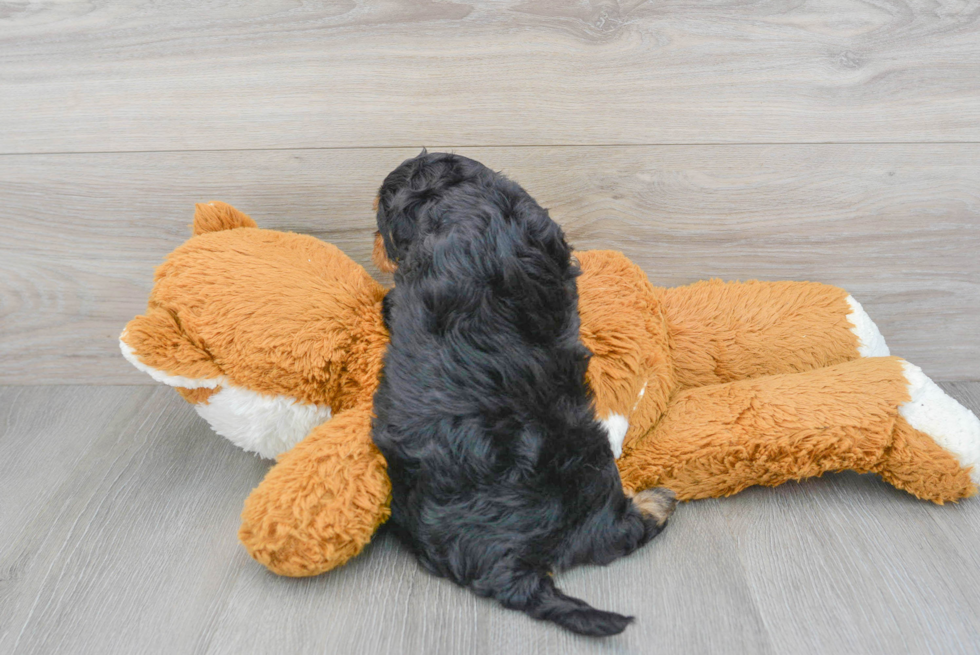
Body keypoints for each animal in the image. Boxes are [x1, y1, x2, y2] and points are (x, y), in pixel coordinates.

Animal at [372, 152, 676, 636]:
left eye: (381, 220)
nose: (374, 245)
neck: (465, 199)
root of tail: (511, 567)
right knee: (616, 535)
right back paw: (658, 502)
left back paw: (658, 501)